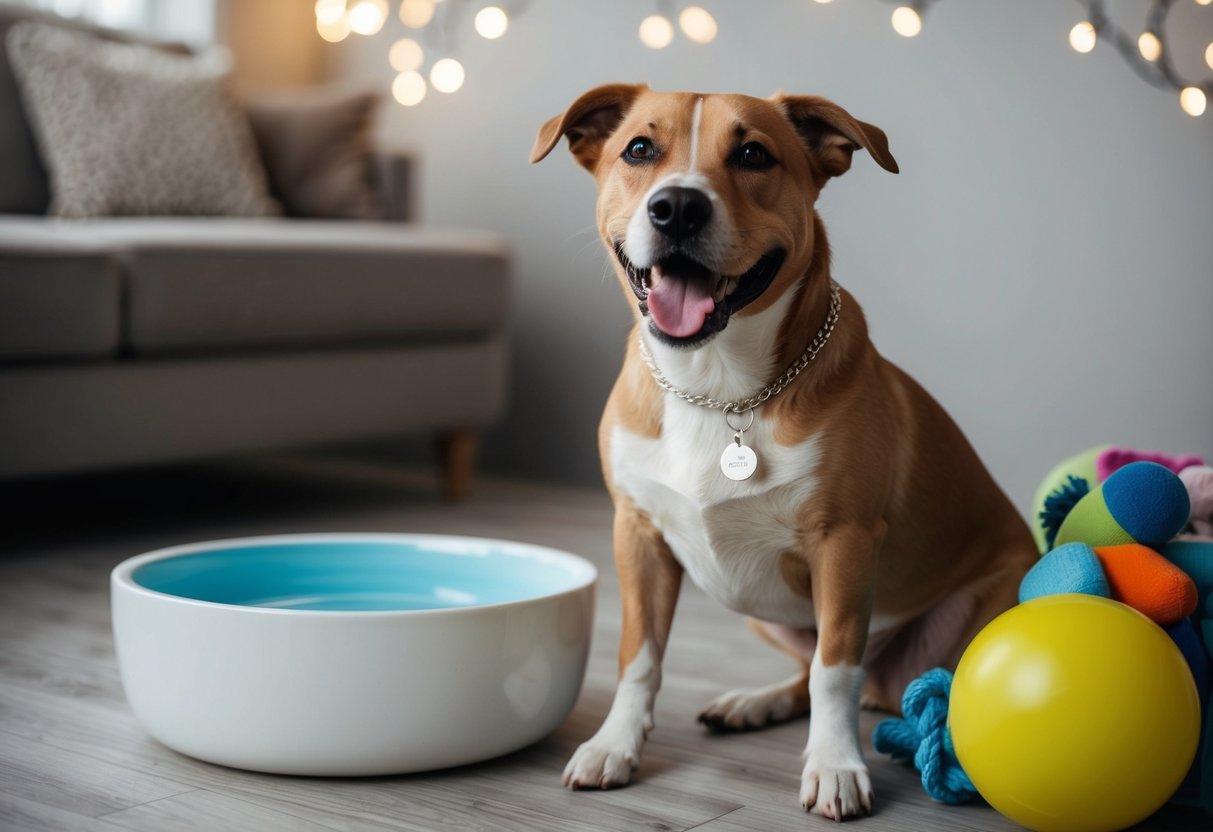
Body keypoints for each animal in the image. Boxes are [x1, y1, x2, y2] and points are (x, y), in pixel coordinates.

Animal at [528, 83, 1033, 819]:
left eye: (752, 155)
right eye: (639, 149)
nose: (677, 207)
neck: (717, 388)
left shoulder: (844, 544)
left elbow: (834, 671)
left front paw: (835, 766)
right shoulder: (636, 533)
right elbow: (638, 655)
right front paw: (614, 744)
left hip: (976, 614)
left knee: (871, 677)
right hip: (758, 616)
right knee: (800, 671)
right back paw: (754, 703)